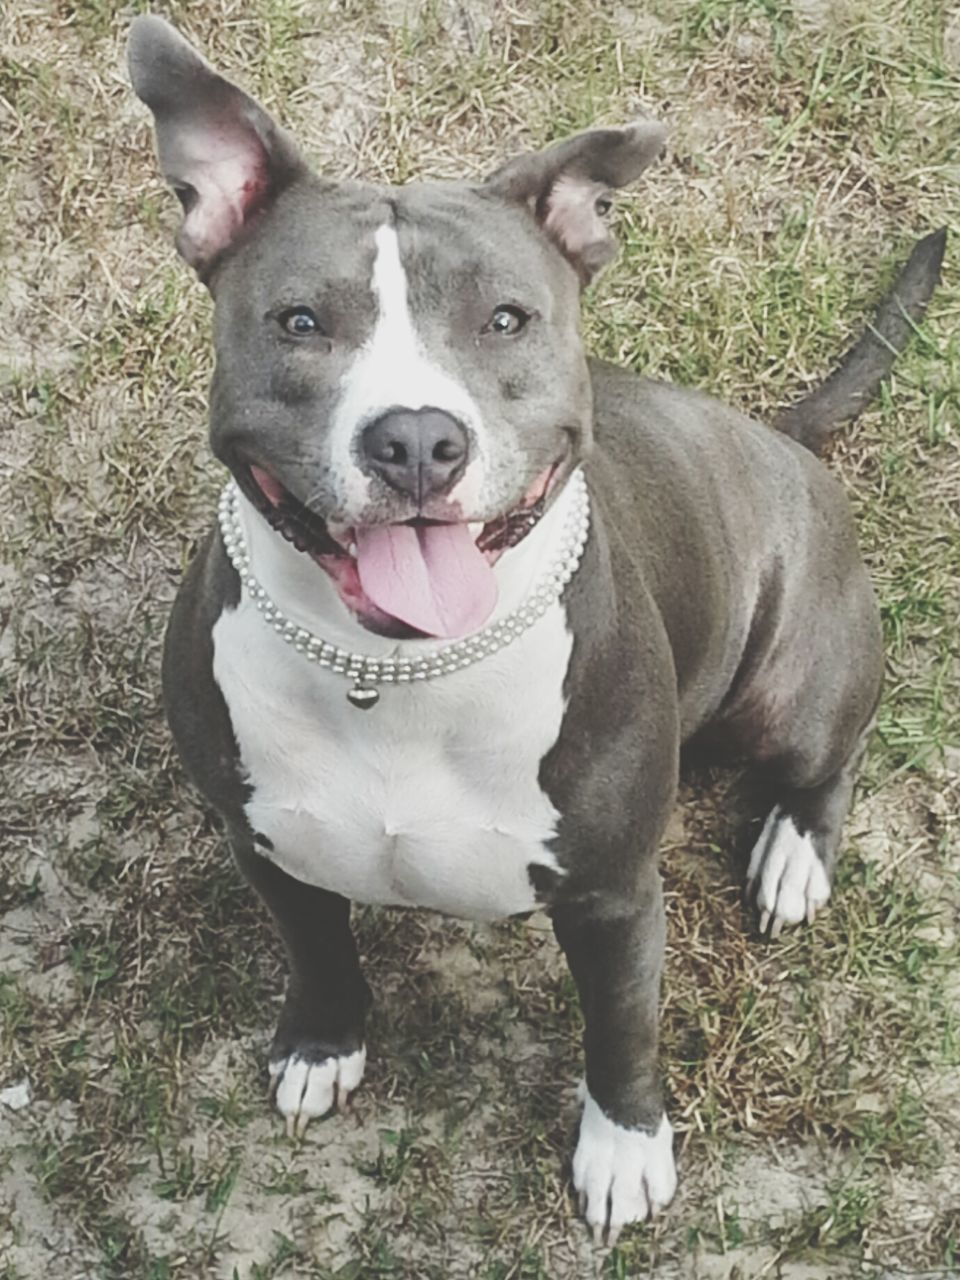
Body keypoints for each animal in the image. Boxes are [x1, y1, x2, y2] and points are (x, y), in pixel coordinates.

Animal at [128, 15, 947, 1244]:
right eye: (301, 322)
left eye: (505, 319)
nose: (417, 439)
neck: (396, 668)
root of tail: (779, 435)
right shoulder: (262, 841)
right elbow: (317, 947)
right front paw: (323, 1041)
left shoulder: (615, 895)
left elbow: (623, 1027)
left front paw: (624, 1147)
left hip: (795, 688)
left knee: (830, 752)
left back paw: (795, 852)